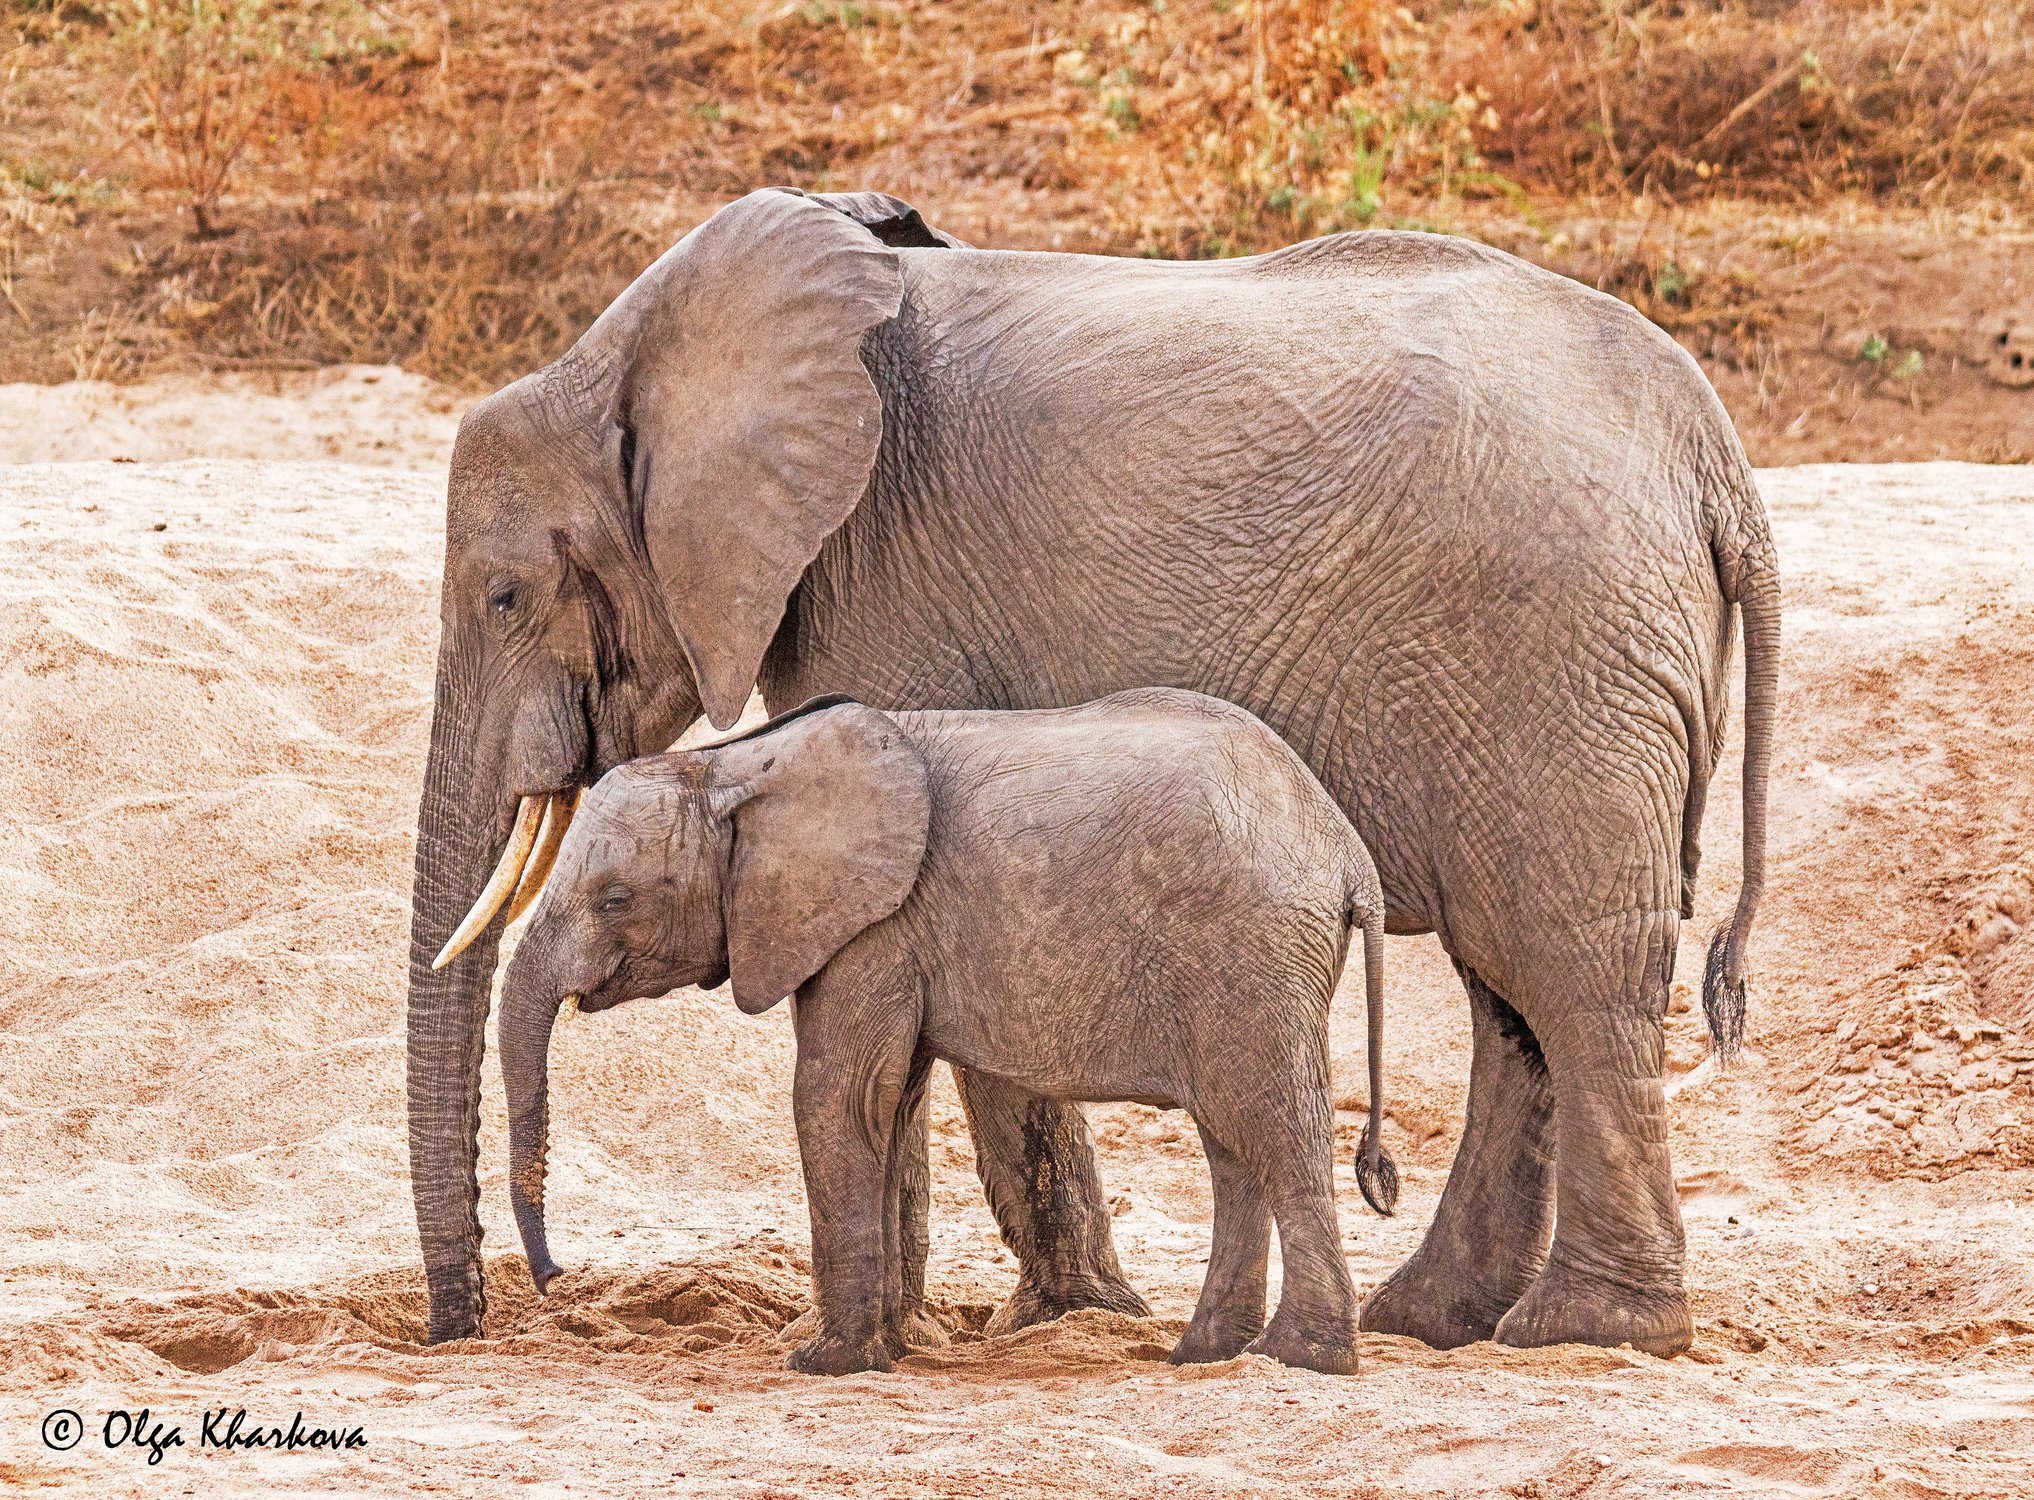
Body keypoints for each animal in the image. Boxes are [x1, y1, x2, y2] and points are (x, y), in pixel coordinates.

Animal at [500, 683, 1407, 1375]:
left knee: (1275, 1126)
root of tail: (1347, 853)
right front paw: (887, 1353)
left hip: (1249, 952)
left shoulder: (874, 927)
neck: (729, 764)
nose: (554, 1278)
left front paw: (825, 1365)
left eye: (616, 900)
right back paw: (1203, 1356)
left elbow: (836, 1101)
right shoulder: (877, 931)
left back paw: (1302, 1359)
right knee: (1233, 1141)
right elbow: (887, 1106)